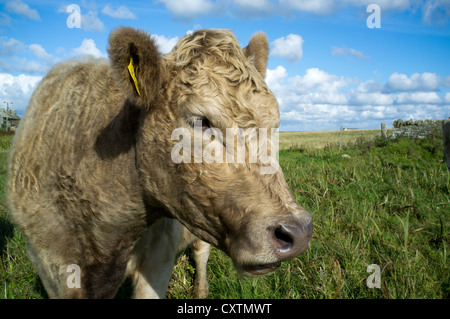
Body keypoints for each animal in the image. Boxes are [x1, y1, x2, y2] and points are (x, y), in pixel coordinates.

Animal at [8, 27, 314, 300]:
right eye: (201, 121)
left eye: (274, 124)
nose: (298, 232)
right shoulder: (49, 266)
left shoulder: (158, 259)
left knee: (201, 252)